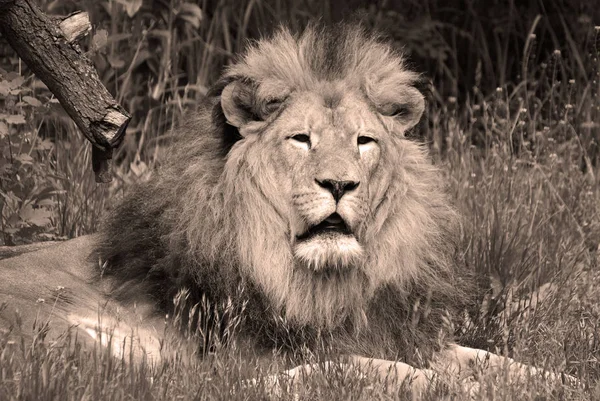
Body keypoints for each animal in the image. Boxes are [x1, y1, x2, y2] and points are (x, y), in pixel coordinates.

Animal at [0, 22, 576, 394]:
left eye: (364, 141)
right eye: (301, 139)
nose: (340, 184)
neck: (322, 281)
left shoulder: (393, 330)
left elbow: (492, 359)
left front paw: (560, 381)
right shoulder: (252, 347)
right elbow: (374, 365)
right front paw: (444, 386)